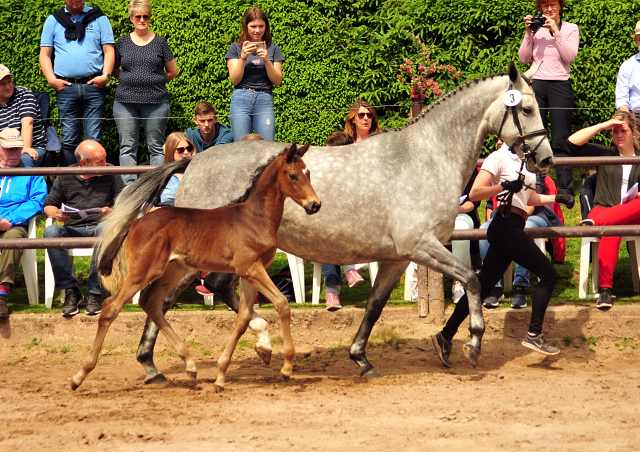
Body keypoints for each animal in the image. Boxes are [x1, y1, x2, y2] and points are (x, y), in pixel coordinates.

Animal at [71, 144, 320, 392]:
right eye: (293, 175)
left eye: (308, 173)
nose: (315, 205)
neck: (254, 218)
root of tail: (136, 223)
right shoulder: (251, 268)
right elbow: (282, 303)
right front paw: (286, 368)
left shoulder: (249, 272)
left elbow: (243, 318)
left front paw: (221, 375)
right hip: (143, 271)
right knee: (111, 307)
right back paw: (79, 375)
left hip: (173, 270)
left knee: (150, 302)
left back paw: (189, 364)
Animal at [104, 61, 552, 384]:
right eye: (528, 108)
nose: (546, 158)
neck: (425, 156)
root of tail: (192, 161)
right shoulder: (422, 246)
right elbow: (473, 278)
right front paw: (473, 343)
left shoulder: (396, 257)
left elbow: (374, 307)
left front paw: (363, 359)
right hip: (202, 255)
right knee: (178, 294)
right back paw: (244, 346)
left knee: (170, 296)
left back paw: (158, 365)